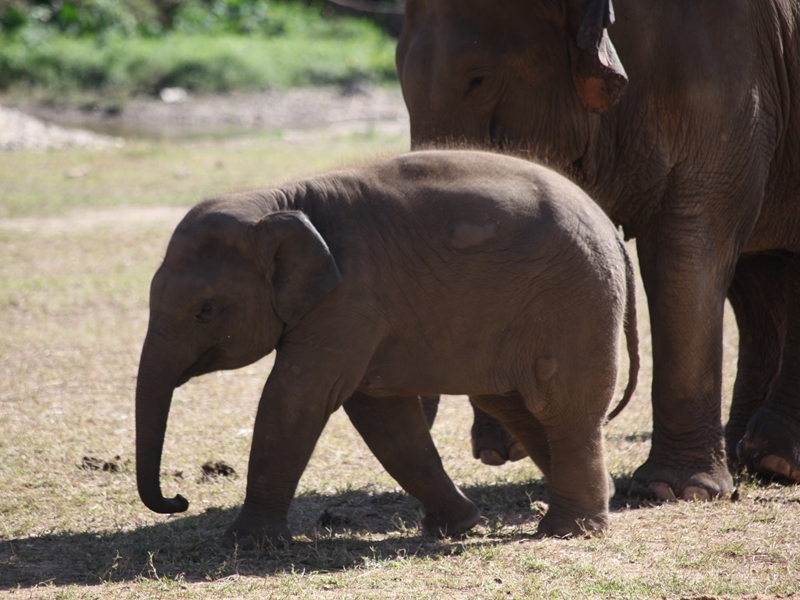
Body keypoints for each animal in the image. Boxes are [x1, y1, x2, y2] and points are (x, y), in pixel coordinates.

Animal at [135, 149, 639, 545]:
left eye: (205, 311)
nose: (179, 499)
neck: (282, 200)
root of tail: (611, 228)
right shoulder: (360, 312)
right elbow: (380, 413)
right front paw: (457, 527)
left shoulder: (351, 298)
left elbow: (297, 397)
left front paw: (243, 544)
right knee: (517, 406)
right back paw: (598, 502)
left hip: (575, 302)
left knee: (563, 409)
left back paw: (568, 531)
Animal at [395, 0, 800, 498]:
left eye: (478, 79)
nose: (496, 452)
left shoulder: (726, 72)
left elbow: (689, 242)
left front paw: (674, 491)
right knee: (755, 277)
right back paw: (751, 454)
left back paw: (774, 460)